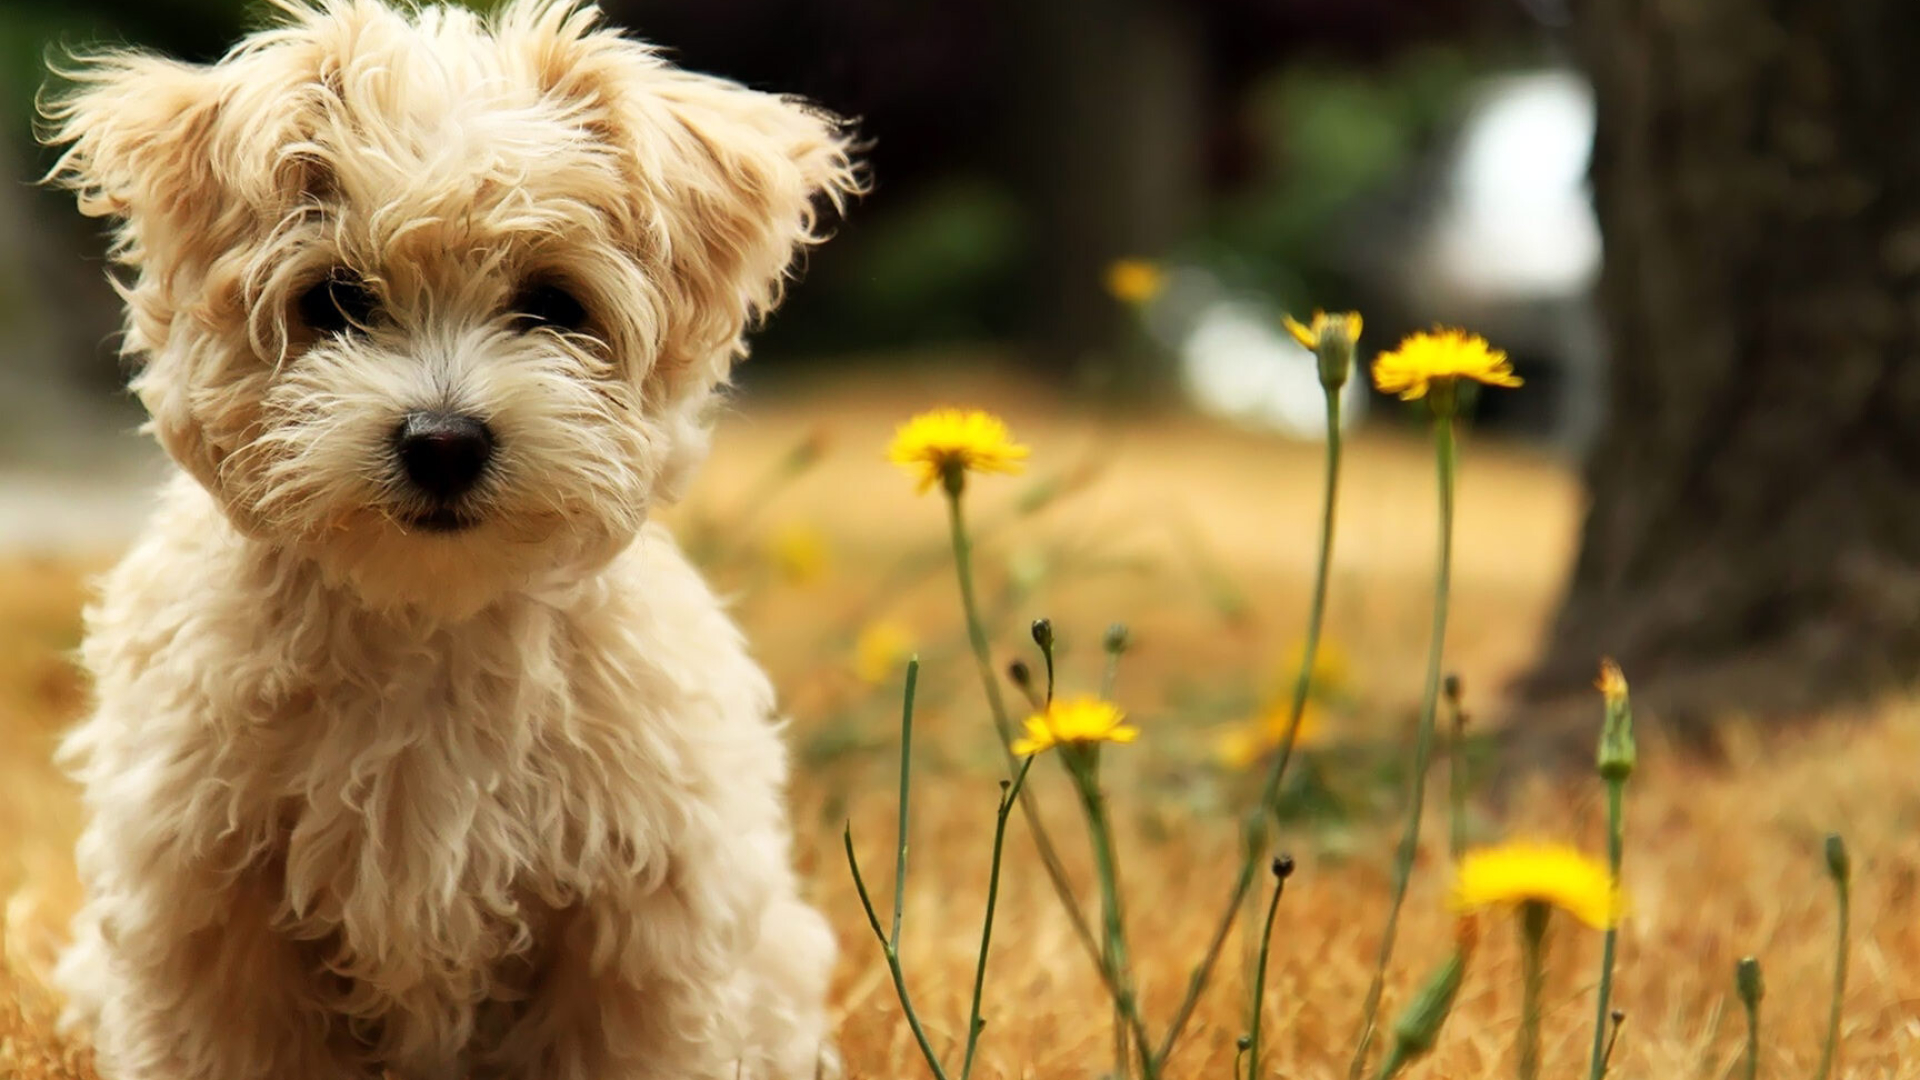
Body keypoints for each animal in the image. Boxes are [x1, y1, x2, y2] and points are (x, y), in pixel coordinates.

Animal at [37, 4, 860, 1068]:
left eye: (552, 303)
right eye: (336, 299)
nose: (443, 441)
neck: (427, 620)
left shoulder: (637, 917)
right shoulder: (206, 899)